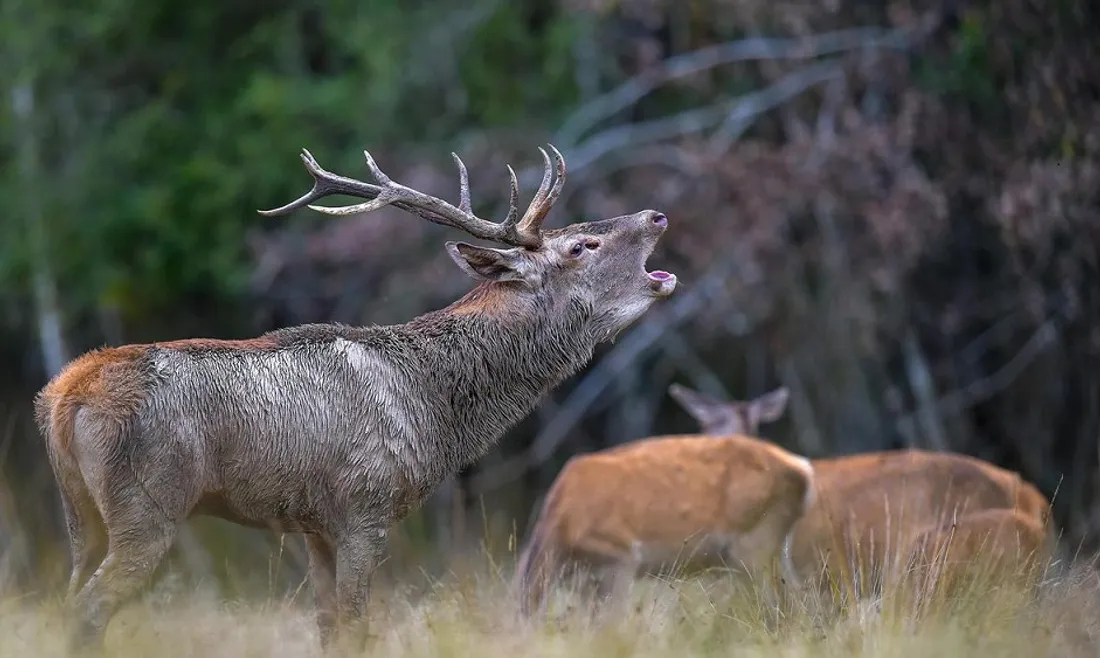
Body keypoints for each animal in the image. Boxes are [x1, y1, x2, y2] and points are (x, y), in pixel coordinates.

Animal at [34, 143, 679, 652]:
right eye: (581, 246)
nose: (655, 214)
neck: (434, 411)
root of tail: (66, 395)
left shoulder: (314, 525)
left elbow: (328, 631)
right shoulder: (365, 507)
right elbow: (356, 628)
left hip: (79, 514)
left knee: (67, 598)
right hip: (147, 503)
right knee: (87, 610)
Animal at [513, 432, 816, 617]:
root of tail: (803, 471)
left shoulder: (621, 556)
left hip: (755, 540)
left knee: (779, 606)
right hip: (775, 545)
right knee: (798, 600)